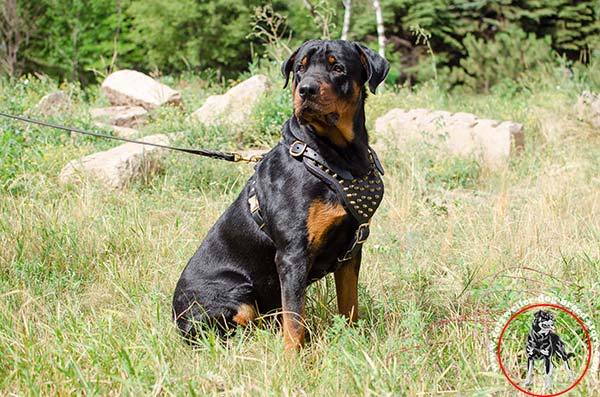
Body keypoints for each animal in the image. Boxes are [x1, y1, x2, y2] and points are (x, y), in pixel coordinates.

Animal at [171, 40, 392, 350]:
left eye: (338, 68)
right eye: (300, 68)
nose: (307, 90)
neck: (331, 155)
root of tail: (174, 317)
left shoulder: (352, 252)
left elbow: (350, 306)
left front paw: (352, 342)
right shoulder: (293, 255)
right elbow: (295, 322)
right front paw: (294, 357)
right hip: (238, 297)